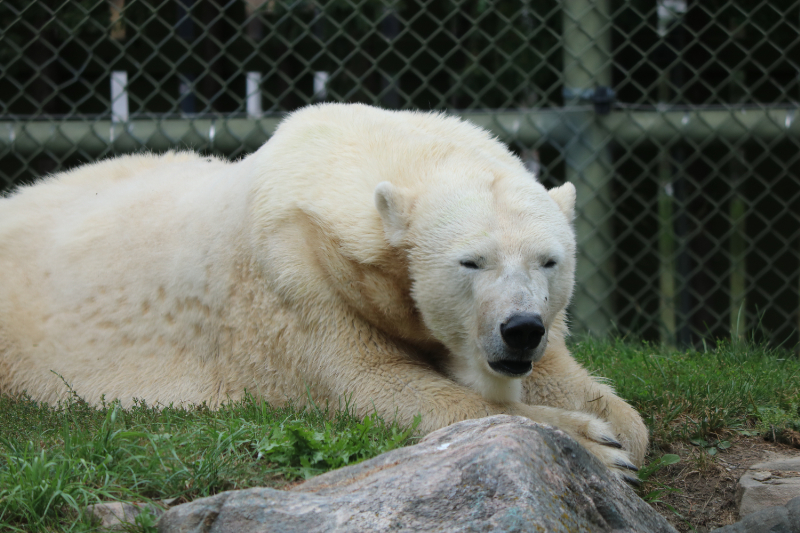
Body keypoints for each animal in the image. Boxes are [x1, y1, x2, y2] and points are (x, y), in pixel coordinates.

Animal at [0, 103, 648, 478]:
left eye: (548, 260)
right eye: (471, 261)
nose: (520, 330)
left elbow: (594, 393)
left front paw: (614, 426)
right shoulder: (300, 281)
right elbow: (379, 387)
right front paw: (598, 447)